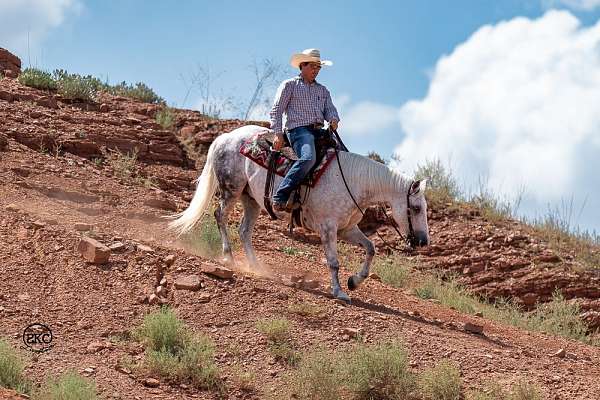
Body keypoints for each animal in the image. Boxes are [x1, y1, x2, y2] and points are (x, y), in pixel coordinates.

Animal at [170, 124, 432, 300]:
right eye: (416, 208)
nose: (422, 241)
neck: (354, 181)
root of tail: (226, 137)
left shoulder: (347, 229)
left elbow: (370, 248)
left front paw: (354, 282)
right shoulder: (328, 228)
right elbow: (333, 262)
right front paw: (339, 291)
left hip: (251, 199)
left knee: (244, 230)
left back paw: (256, 266)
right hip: (231, 189)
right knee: (220, 217)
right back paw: (228, 256)